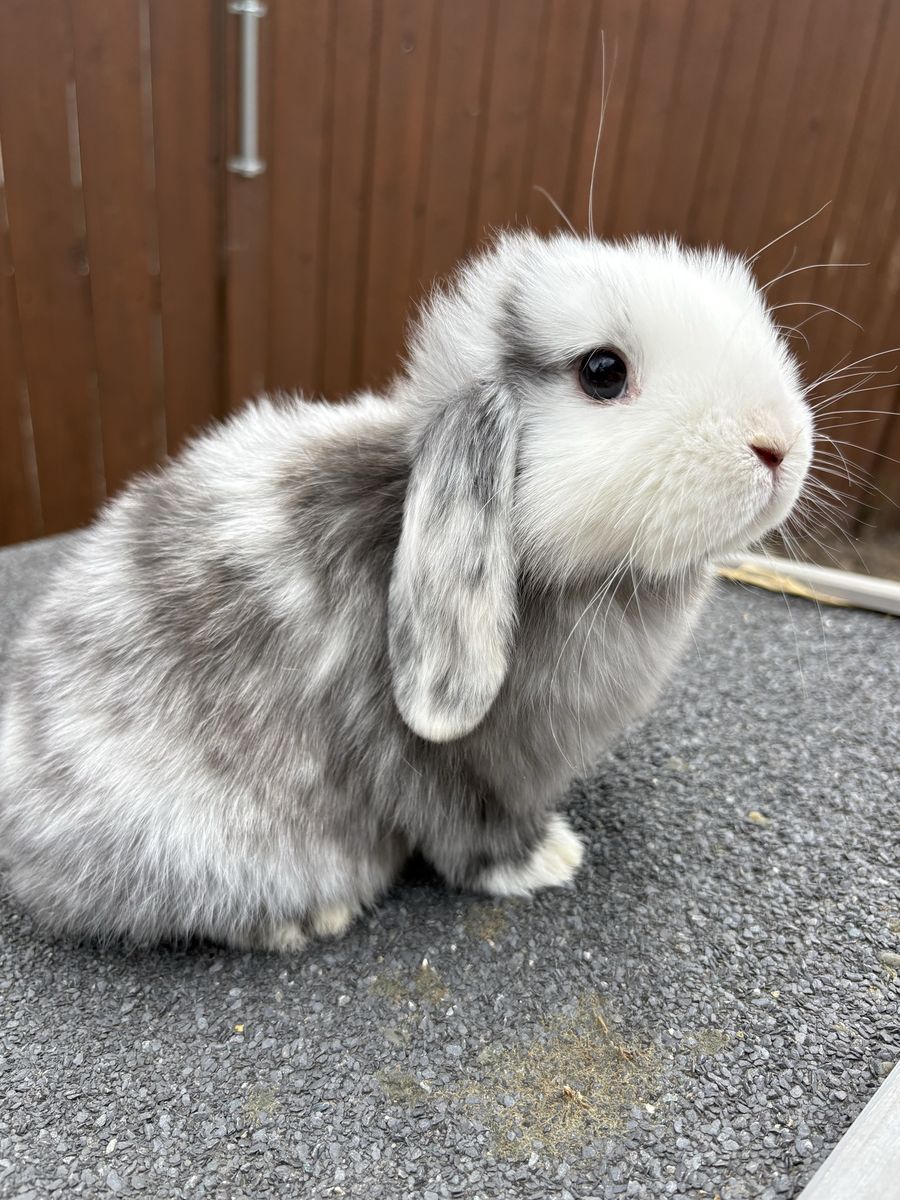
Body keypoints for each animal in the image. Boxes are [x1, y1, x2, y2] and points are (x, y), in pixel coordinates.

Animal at [0, 231, 812, 950]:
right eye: (603, 371)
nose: (777, 445)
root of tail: (26, 853)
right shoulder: (427, 760)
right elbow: (463, 828)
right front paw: (545, 860)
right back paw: (306, 919)